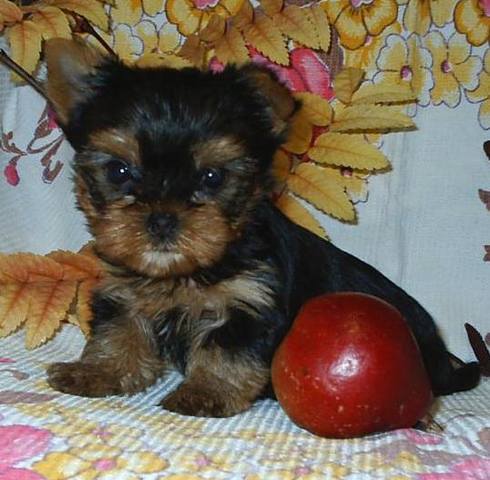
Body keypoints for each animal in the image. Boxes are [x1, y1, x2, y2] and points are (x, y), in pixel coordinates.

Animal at [44, 40, 480, 416]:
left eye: (213, 176)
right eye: (119, 171)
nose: (162, 218)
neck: (183, 274)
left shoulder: (249, 302)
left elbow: (226, 350)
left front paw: (206, 392)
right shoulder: (125, 292)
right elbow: (118, 331)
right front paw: (97, 371)